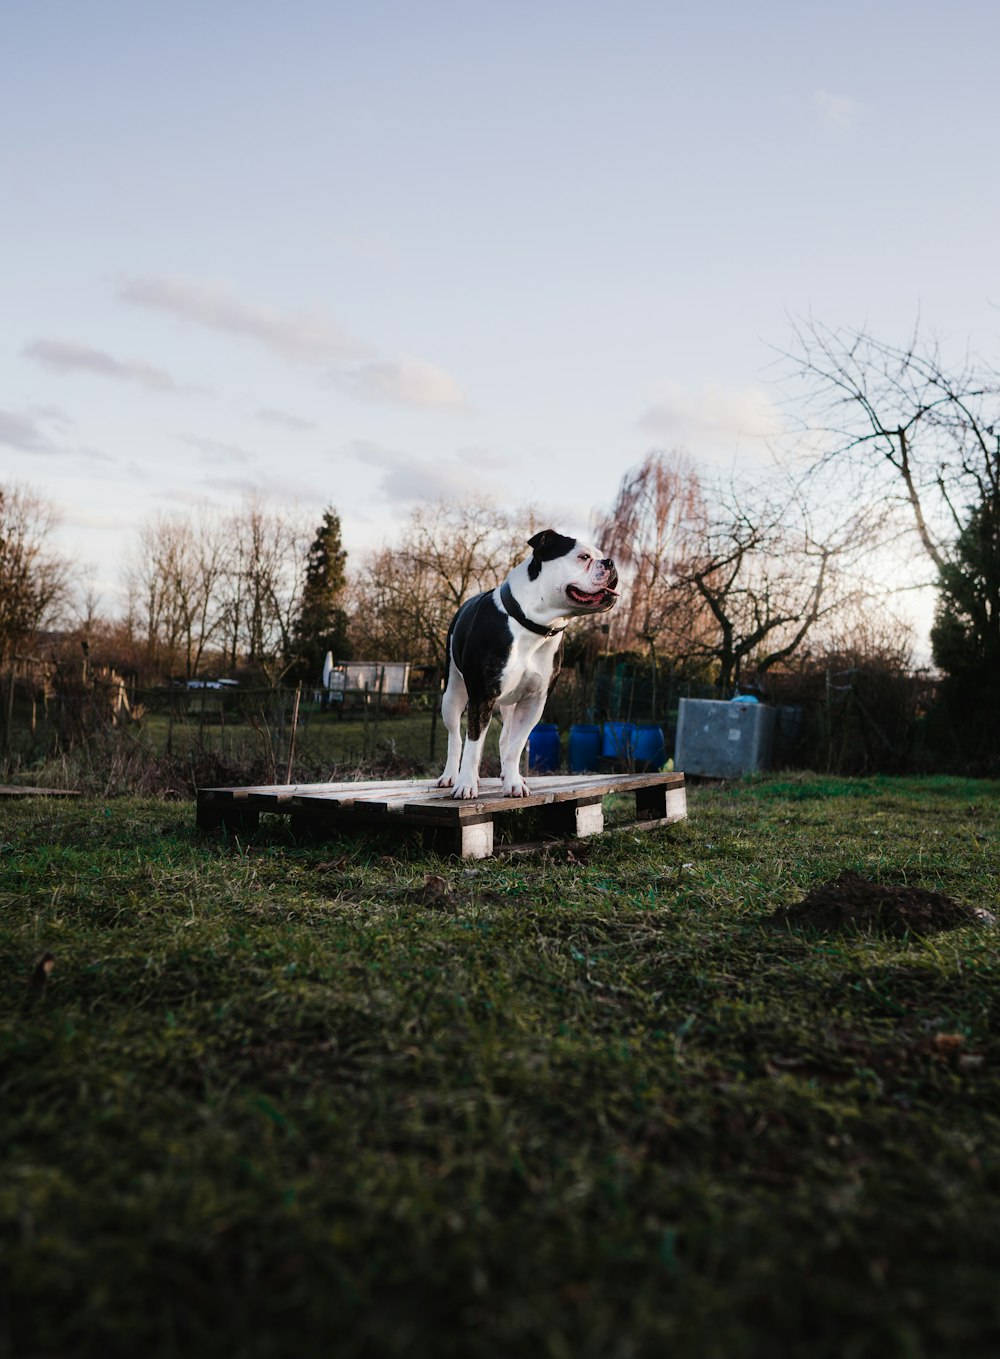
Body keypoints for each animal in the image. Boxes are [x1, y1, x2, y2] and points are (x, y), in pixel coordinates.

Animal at [437, 527, 616, 793]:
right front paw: (466, 784)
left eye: (602, 555)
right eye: (583, 557)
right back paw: (451, 776)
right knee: (456, 737)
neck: (533, 625)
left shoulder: (534, 702)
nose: (610, 563)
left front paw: (512, 782)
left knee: (504, 739)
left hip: (509, 705)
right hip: (452, 695)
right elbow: (473, 744)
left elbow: (516, 746)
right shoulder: (481, 697)